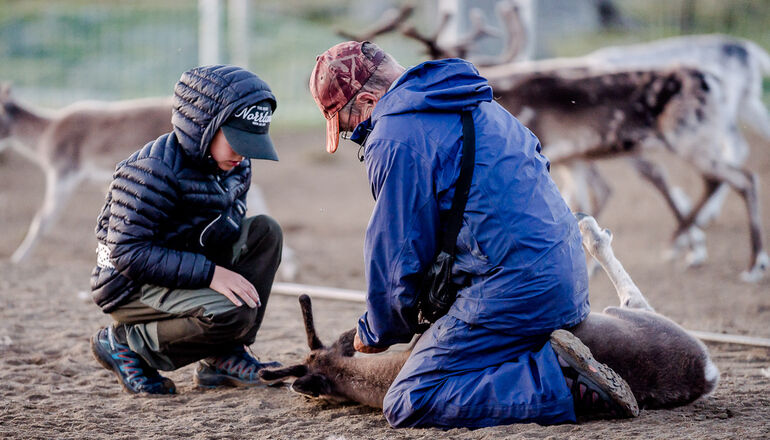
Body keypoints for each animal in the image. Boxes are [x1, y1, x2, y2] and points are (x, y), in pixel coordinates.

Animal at [260, 214, 716, 412]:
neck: (385, 375)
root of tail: (706, 370)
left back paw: (587, 226)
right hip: (631, 315)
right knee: (633, 296)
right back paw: (588, 230)